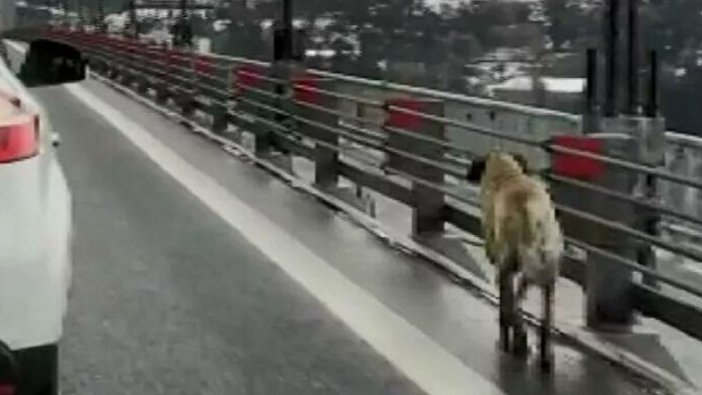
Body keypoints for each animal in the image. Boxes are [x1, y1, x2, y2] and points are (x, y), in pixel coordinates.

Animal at [468, 151, 568, 372]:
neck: (508, 175)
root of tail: (534, 215)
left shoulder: (501, 264)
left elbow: (507, 300)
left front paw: (507, 330)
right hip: (546, 272)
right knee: (545, 317)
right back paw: (544, 352)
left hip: (513, 264)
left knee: (514, 302)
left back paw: (519, 340)